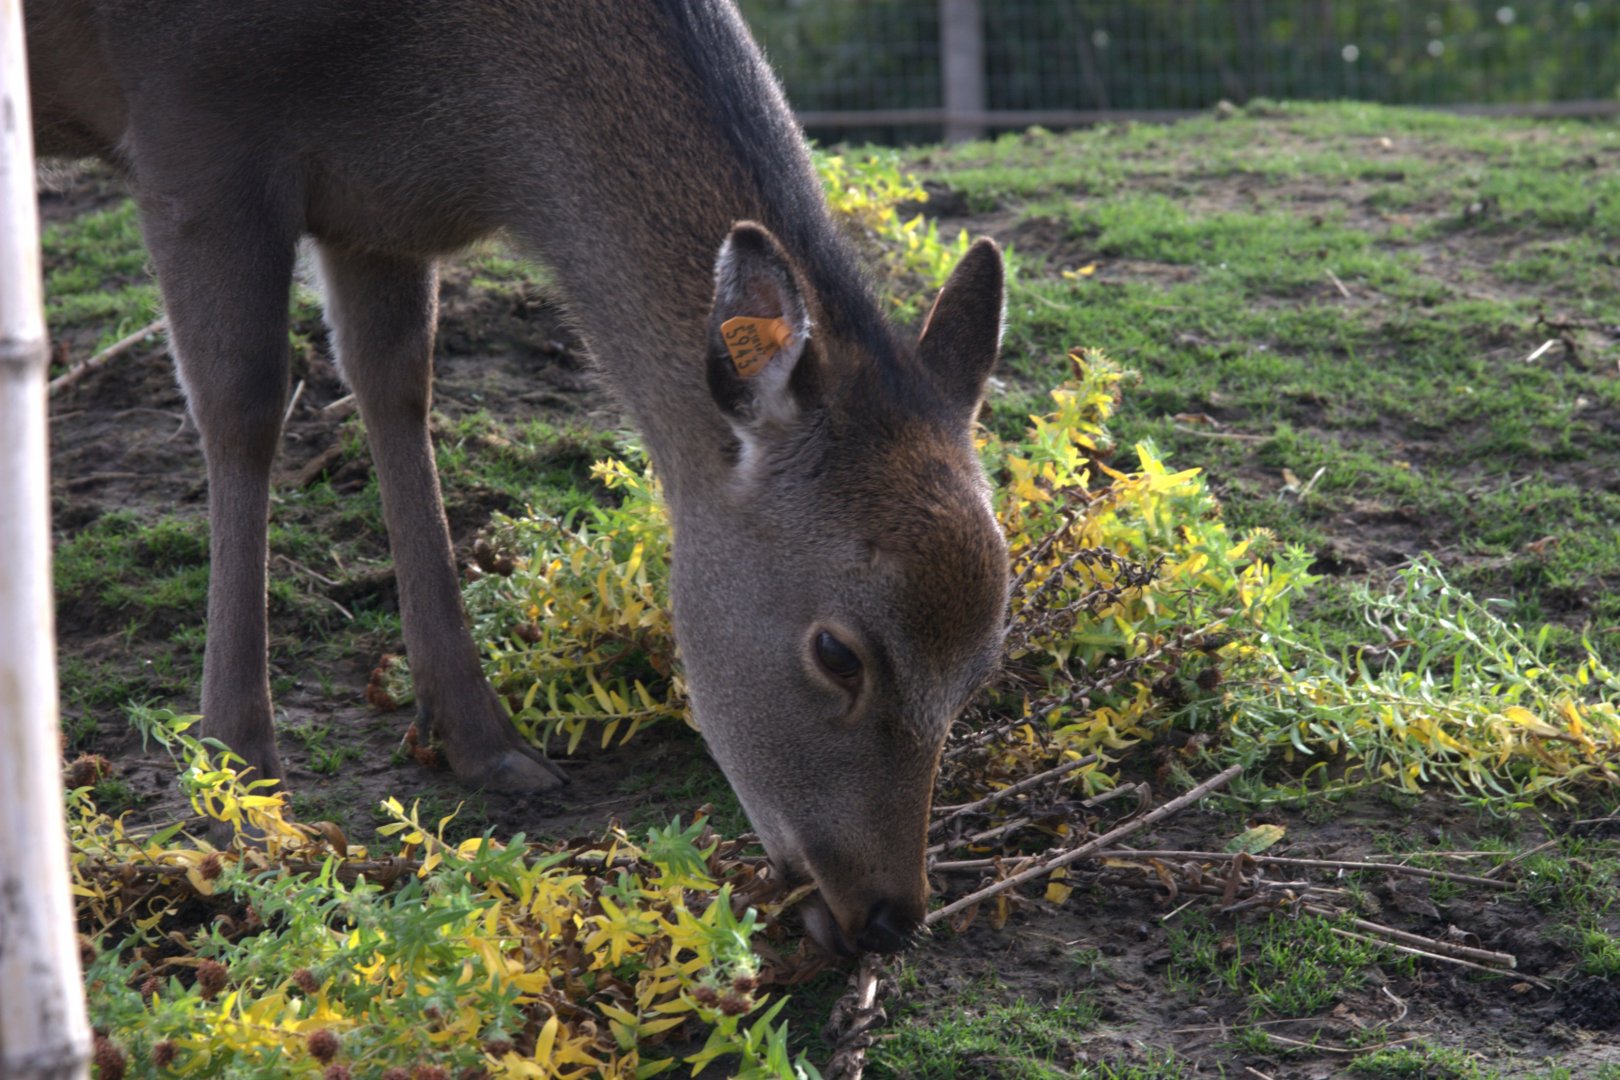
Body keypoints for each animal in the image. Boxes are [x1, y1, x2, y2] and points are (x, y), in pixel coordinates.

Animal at [25, 0, 1009, 955]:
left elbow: (397, 385)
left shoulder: (374, 207)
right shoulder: (189, 124)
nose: (890, 916)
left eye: (983, 662)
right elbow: (242, 407)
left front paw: (484, 740)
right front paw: (237, 785)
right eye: (838, 652)